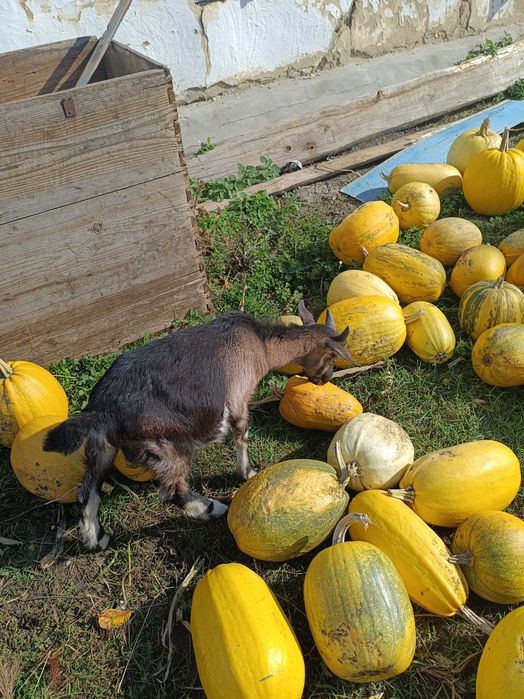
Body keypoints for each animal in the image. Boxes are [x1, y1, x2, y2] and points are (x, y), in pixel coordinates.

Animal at [44, 301, 351, 551]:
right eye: (332, 357)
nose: (325, 379)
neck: (261, 345)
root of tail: (101, 410)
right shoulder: (238, 397)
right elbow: (241, 432)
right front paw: (248, 472)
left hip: (103, 445)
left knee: (88, 491)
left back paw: (96, 539)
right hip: (165, 445)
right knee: (172, 491)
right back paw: (212, 508)